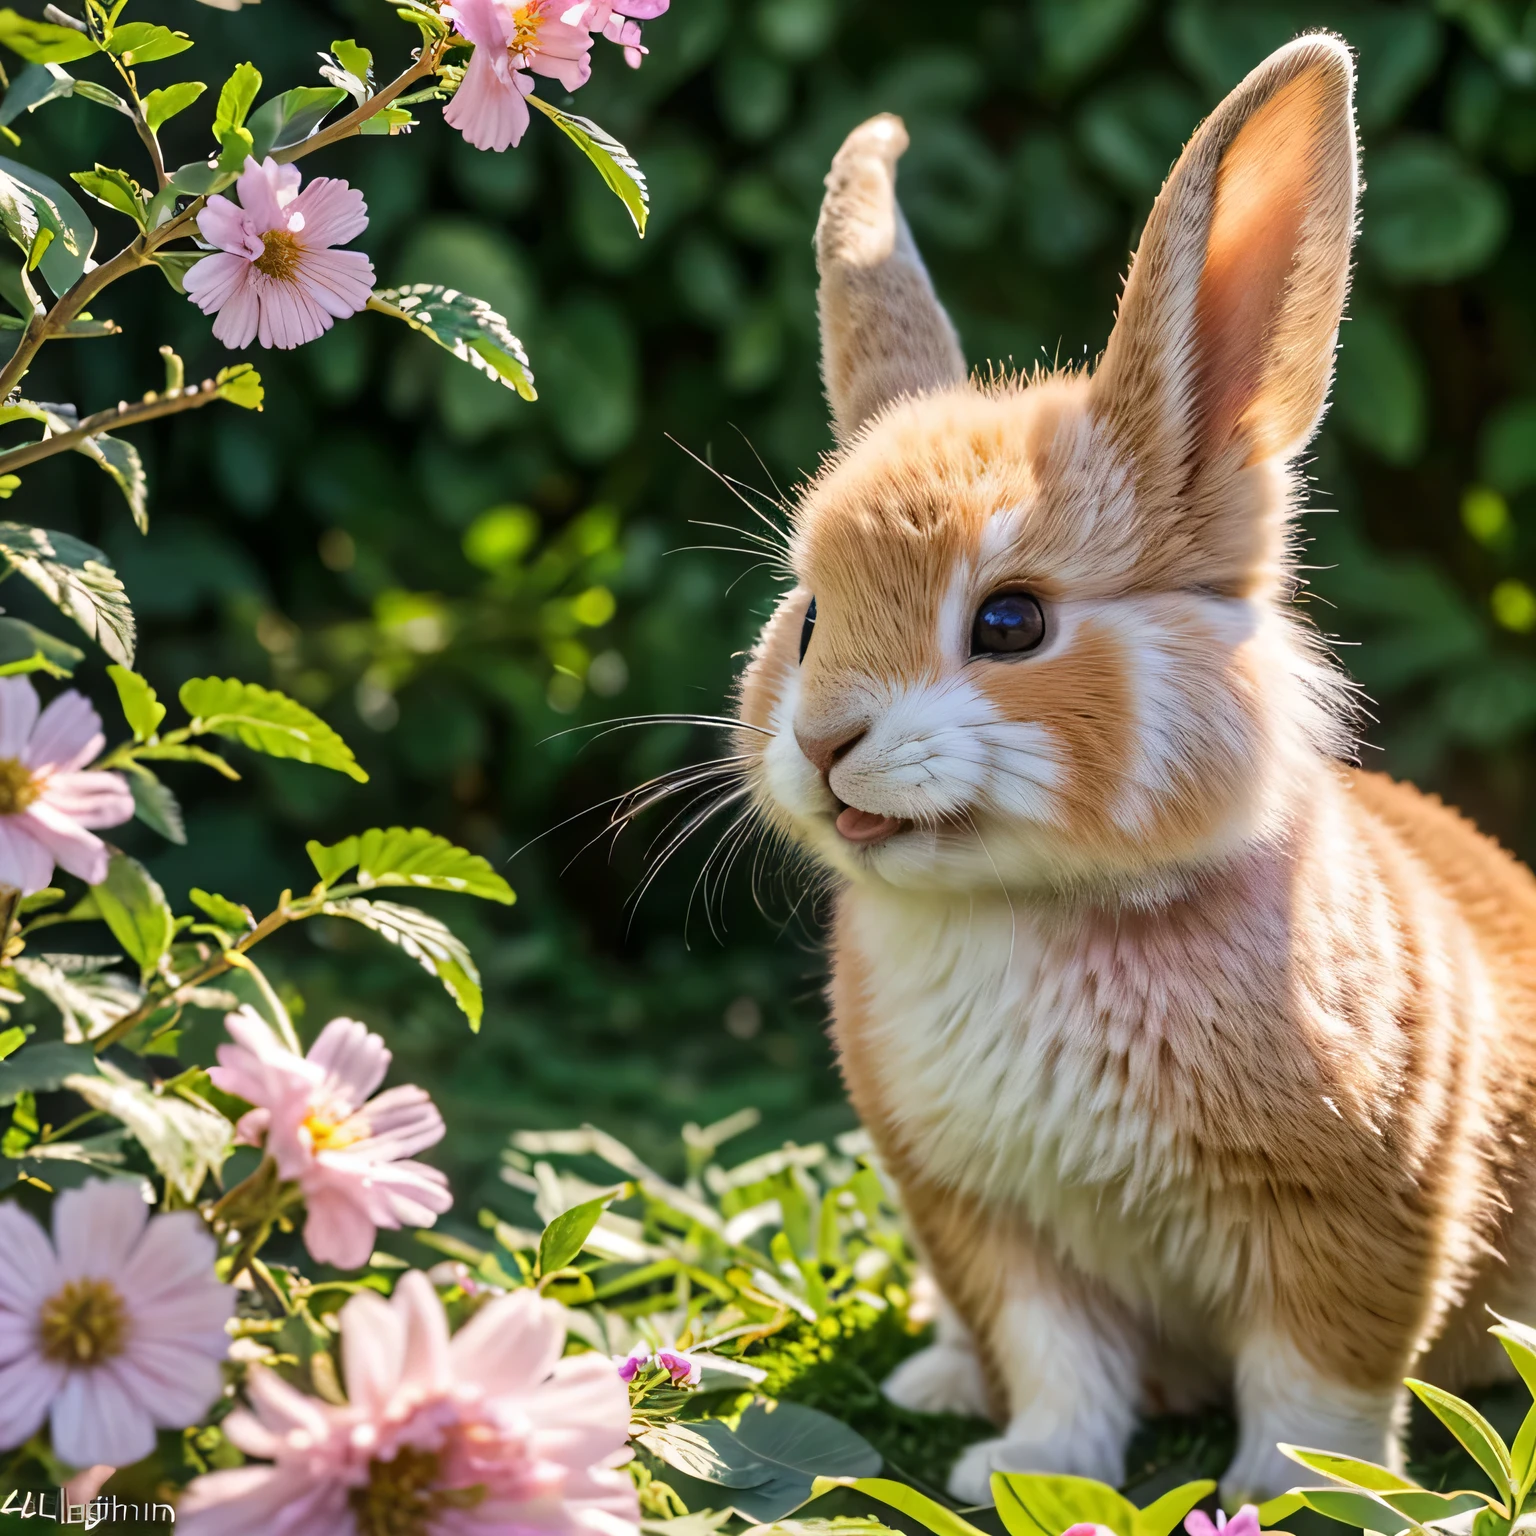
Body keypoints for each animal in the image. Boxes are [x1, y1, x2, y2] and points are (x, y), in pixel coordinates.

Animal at [728, 33, 1536, 1511]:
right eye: (806, 617)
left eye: (1010, 624)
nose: (822, 743)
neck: (1042, 907)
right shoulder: (995, 1228)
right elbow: (1060, 1366)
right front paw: (1025, 1470)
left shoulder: (1355, 1212)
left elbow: (1319, 1386)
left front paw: (1288, 1498)